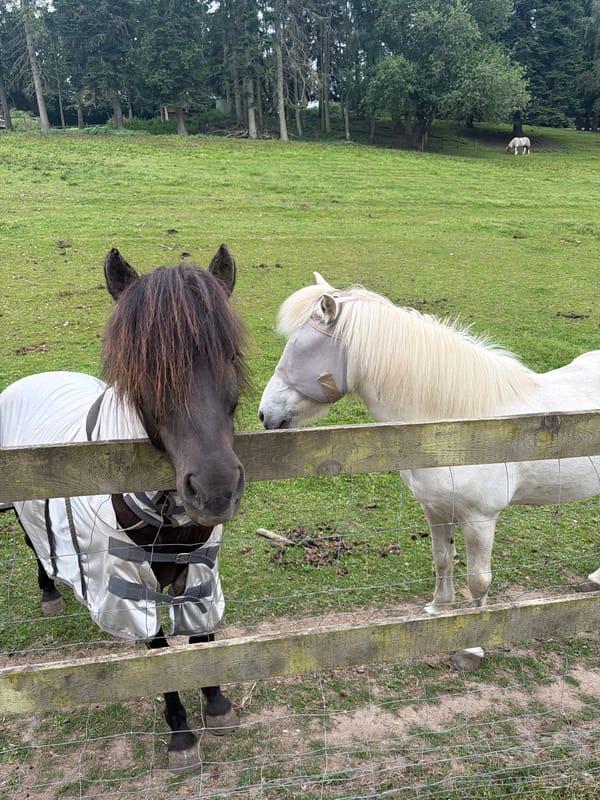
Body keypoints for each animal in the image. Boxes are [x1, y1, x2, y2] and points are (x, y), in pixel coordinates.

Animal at [0, 245, 248, 768]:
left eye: (231, 356)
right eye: (145, 370)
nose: (215, 489)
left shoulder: (200, 569)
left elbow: (202, 636)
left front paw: (217, 705)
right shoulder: (131, 585)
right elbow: (158, 650)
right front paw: (181, 735)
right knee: (36, 545)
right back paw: (49, 593)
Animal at [258, 273, 600, 667]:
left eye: (299, 350)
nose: (265, 414)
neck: (461, 425)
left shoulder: (480, 520)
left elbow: (478, 580)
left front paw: (471, 647)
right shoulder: (435, 510)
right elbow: (442, 560)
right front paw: (438, 610)